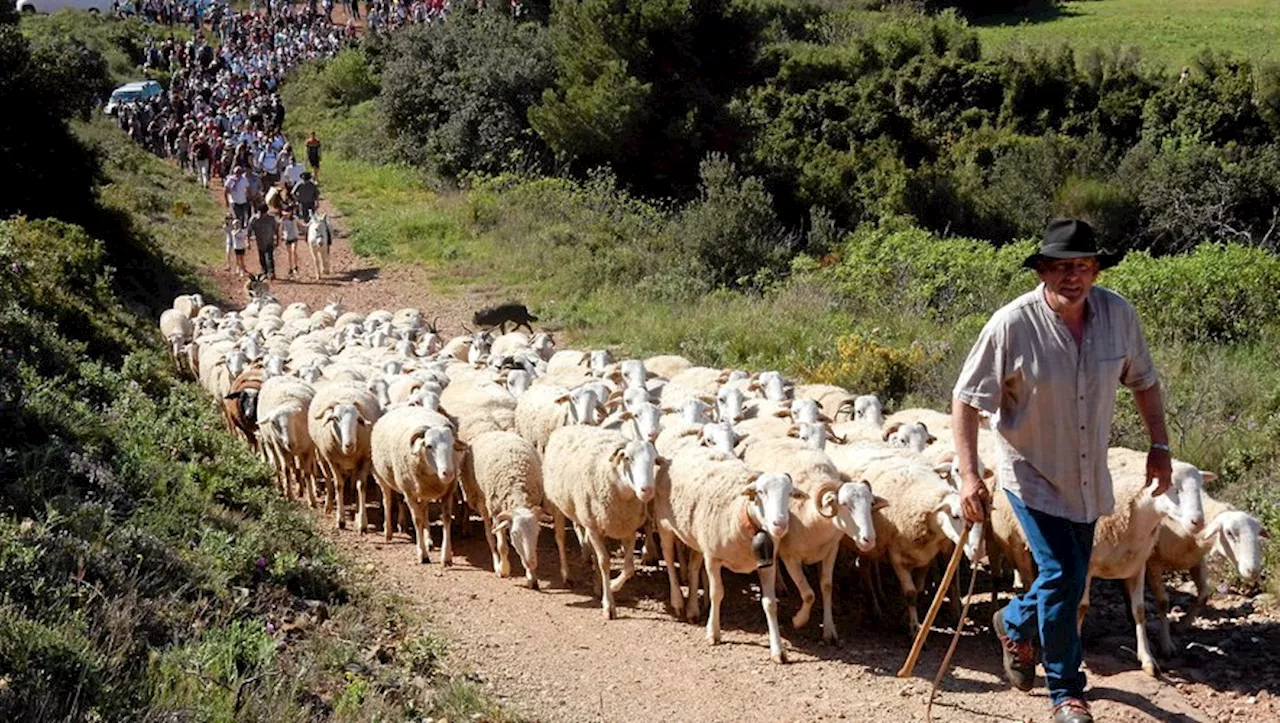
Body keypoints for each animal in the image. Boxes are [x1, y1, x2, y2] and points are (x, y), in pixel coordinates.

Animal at [371, 406, 465, 563]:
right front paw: (422, 554)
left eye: (452, 445)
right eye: (428, 446)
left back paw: (429, 541)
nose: (448, 473)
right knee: (387, 502)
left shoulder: (448, 491)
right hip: (382, 477)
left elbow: (446, 519)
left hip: (424, 491)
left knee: (424, 508)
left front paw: (446, 557)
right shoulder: (409, 493)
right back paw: (388, 532)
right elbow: (417, 520)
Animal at [460, 427, 545, 586]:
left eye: (538, 532)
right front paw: (504, 569)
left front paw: (531, 576)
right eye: (515, 533)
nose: (531, 563)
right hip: (482, 500)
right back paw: (496, 562)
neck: (516, 486)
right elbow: (502, 547)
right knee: (490, 535)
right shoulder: (496, 512)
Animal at [540, 424, 660, 616]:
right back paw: (567, 575)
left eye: (655, 460)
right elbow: (605, 562)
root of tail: (568, 427)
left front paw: (612, 585)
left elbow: (629, 568)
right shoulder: (593, 528)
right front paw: (609, 604)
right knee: (560, 539)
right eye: (628, 458)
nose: (647, 490)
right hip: (558, 504)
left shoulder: (627, 529)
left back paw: (597, 585)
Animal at [660, 447, 798, 660]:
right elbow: (717, 594)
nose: (780, 524)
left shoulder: (767, 564)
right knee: (668, 559)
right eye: (760, 492)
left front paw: (778, 650)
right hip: (664, 523)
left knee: (693, 569)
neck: (742, 513)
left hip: (698, 537)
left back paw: (692, 609)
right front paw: (713, 633)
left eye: (790, 493)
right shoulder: (713, 559)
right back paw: (678, 601)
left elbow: (770, 604)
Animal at [1146, 491, 1264, 655]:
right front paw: (1165, 643)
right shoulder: (1153, 562)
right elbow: (1163, 602)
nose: (1253, 571)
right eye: (1229, 533)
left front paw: (1181, 625)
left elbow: (1203, 596)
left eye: (1258, 534)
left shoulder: (1197, 560)